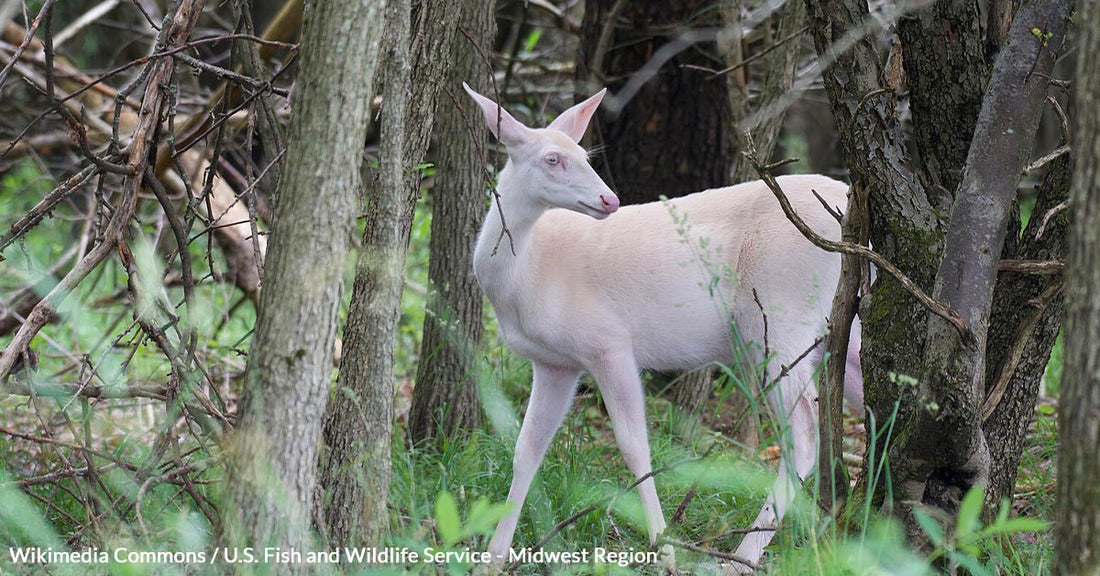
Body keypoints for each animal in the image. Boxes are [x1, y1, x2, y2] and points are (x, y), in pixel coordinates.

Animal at [463, 83, 864, 572]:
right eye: (553, 158)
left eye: (586, 155)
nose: (609, 200)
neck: (527, 275)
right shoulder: (555, 362)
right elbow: (525, 448)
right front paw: (493, 556)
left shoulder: (609, 341)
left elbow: (635, 445)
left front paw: (665, 548)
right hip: (840, 325)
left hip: (781, 316)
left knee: (803, 435)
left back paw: (740, 556)